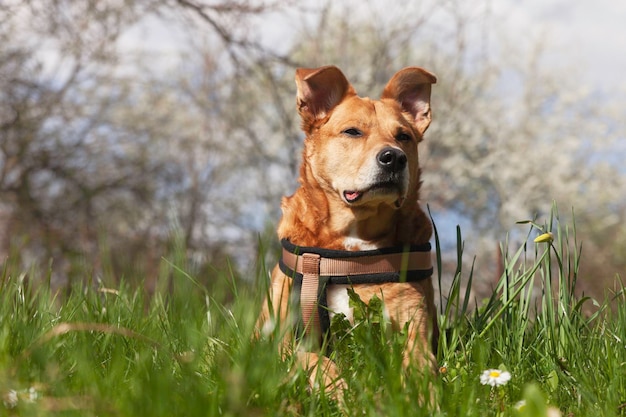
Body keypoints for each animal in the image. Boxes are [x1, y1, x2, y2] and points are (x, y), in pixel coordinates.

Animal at [256, 64, 436, 394]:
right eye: (352, 131)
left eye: (404, 136)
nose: (395, 157)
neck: (351, 245)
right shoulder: (274, 344)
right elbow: (315, 359)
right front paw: (341, 391)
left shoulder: (413, 327)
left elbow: (419, 367)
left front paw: (422, 396)